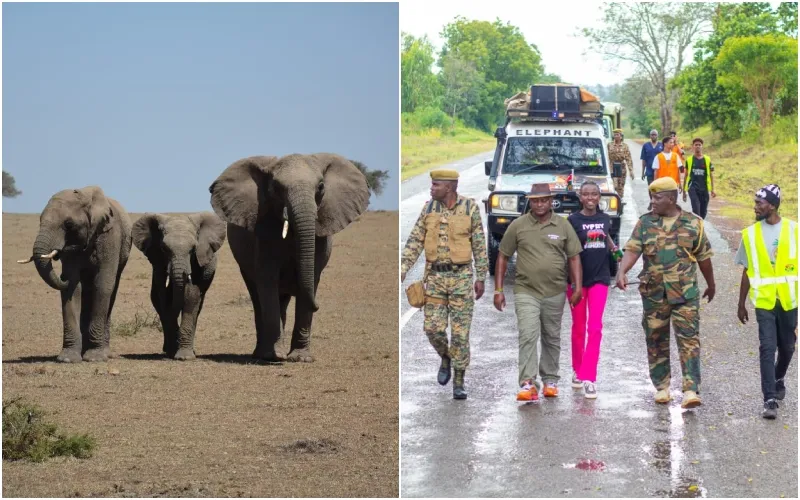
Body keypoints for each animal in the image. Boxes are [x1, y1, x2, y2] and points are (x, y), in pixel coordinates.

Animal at [17, 186, 132, 362]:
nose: (62, 276)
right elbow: (73, 289)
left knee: (111, 290)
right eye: (40, 220)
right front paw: (68, 358)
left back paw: (104, 352)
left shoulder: (110, 236)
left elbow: (102, 284)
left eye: (68, 224)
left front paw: (95, 357)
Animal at [131, 212, 227, 360]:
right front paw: (172, 351)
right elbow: (161, 295)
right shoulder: (158, 260)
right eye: (164, 249)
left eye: (193, 249)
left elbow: (191, 296)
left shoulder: (199, 260)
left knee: (198, 305)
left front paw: (184, 357)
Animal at [208, 153, 370, 362]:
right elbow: (267, 281)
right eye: (276, 188)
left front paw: (301, 358)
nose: (317, 305)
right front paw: (274, 356)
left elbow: (311, 278)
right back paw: (261, 353)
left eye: (321, 187)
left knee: (282, 300)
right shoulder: (264, 229)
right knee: (257, 296)